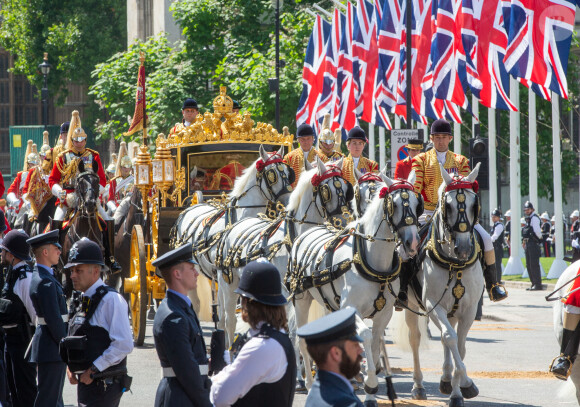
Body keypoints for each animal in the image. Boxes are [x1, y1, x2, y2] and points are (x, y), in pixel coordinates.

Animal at [170, 145, 292, 318]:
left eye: (288, 172)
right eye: (271, 175)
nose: (288, 202)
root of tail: (191, 207)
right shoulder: (224, 274)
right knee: (197, 303)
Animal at [215, 156, 352, 348]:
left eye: (347, 189)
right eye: (327, 191)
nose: (344, 222)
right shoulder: (288, 294)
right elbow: (292, 330)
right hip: (228, 282)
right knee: (229, 321)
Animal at [290, 171, 422, 406]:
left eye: (417, 204)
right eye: (394, 204)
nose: (413, 242)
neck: (372, 261)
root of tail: (307, 232)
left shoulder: (384, 314)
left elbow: (376, 342)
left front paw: (370, 392)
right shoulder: (351, 309)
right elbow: (366, 336)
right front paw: (370, 381)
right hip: (301, 299)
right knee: (300, 340)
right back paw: (308, 384)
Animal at [406, 163, 488, 407]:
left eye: (473, 203)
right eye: (448, 205)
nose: (463, 248)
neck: (455, 263)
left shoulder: (469, 309)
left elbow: (459, 345)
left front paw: (457, 390)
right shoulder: (433, 305)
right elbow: (450, 338)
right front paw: (466, 384)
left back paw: (445, 379)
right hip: (412, 307)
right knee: (417, 339)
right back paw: (419, 386)